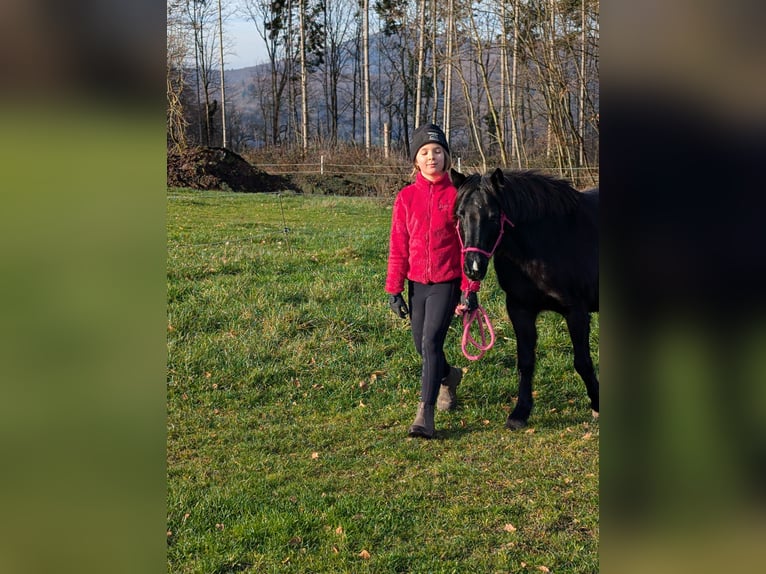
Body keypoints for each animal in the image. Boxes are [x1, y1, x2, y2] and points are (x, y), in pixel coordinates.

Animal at [452, 168, 599, 429]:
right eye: (460, 214)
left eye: (493, 216)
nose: (473, 267)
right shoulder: (519, 310)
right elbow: (525, 362)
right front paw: (520, 413)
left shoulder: (576, 312)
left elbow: (582, 362)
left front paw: (597, 405)